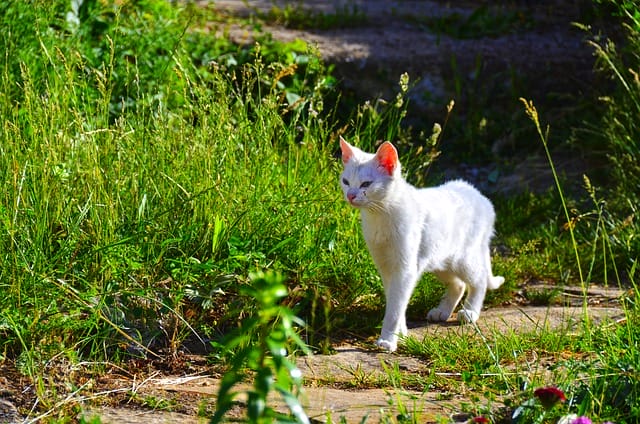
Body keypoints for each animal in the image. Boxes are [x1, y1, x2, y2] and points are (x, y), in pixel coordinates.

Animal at [340, 136, 504, 352]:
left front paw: (388, 339)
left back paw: (470, 313)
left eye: (366, 183)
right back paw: (442, 311)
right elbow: (396, 301)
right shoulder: (387, 267)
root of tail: (480, 196)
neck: (380, 214)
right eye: (346, 181)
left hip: (462, 259)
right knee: (458, 285)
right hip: (438, 260)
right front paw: (401, 333)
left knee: (479, 280)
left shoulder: (405, 269)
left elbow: (395, 307)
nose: (350, 195)